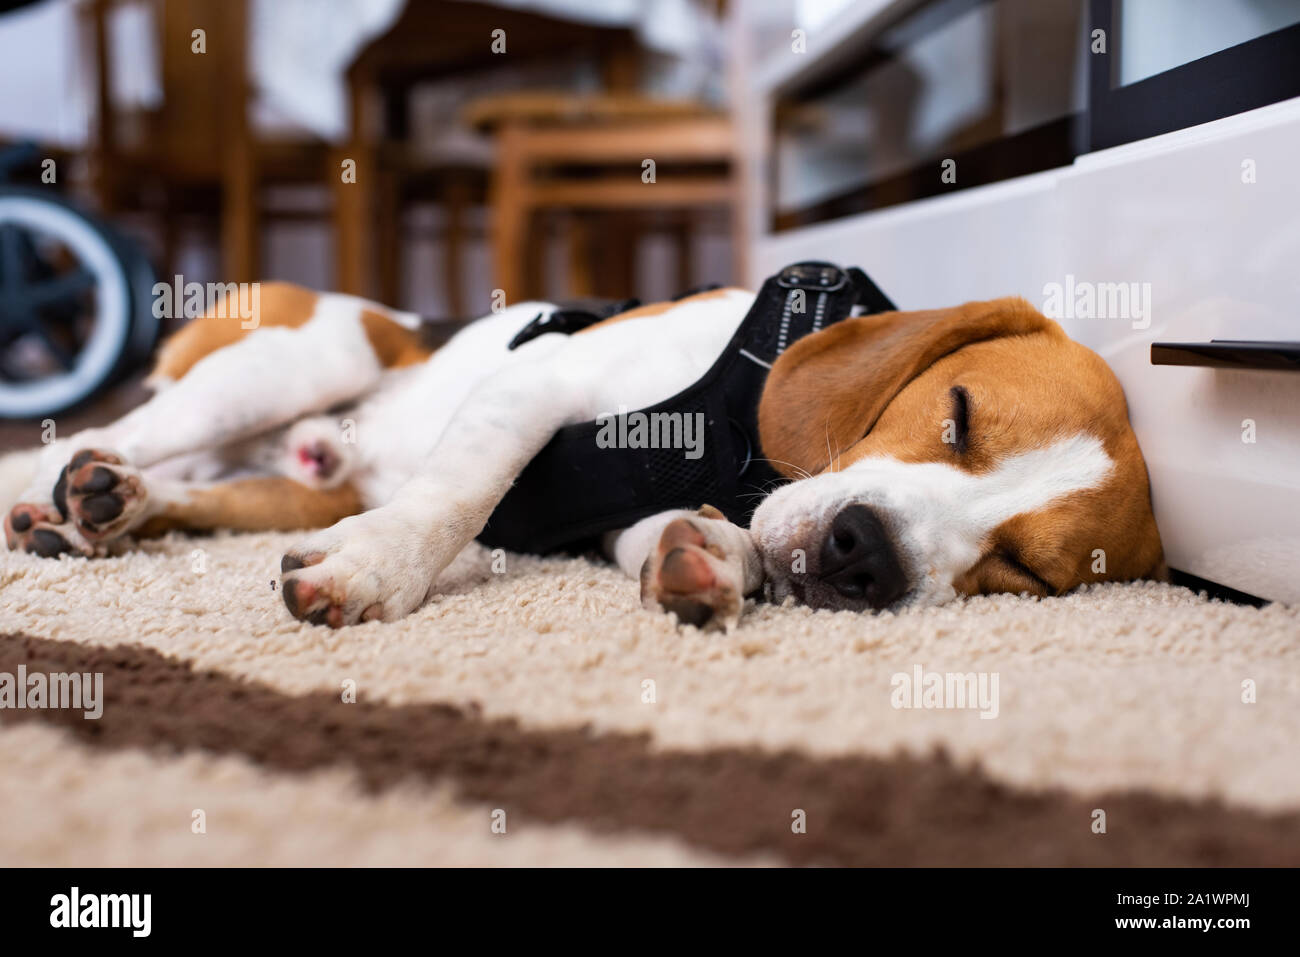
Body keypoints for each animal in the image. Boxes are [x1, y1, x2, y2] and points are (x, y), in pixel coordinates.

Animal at [0, 280, 1159, 631]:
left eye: (1024, 571)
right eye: (958, 416)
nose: (861, 551)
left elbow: (674, 539)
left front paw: (706, 558)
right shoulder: (542, 381)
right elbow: (458, 495)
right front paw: (377, 569)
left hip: (274, 481)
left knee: (176, 484)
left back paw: (103, 505)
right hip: (293, 360)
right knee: (128, 430)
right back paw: (57, 489)